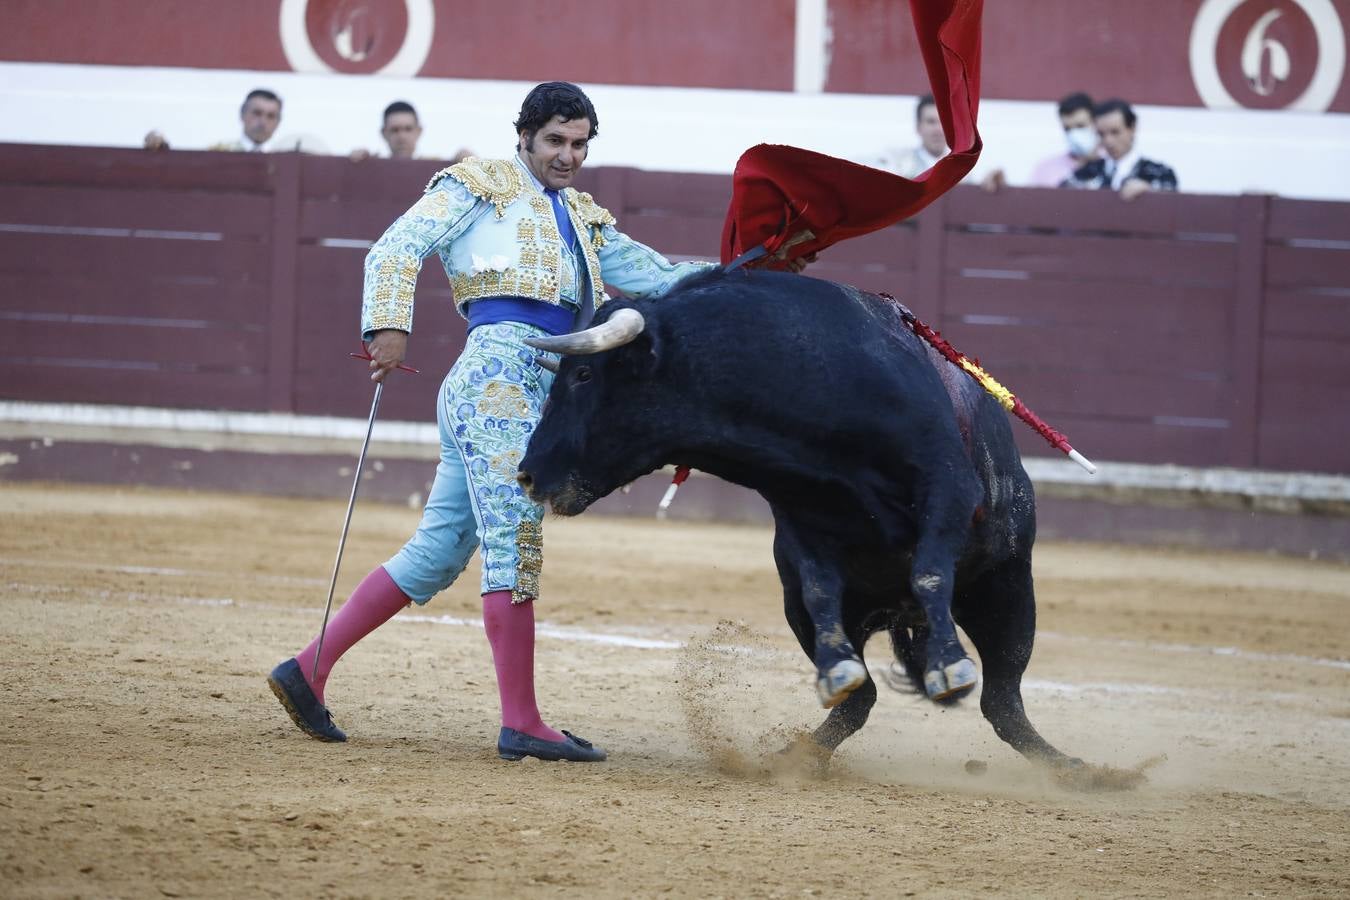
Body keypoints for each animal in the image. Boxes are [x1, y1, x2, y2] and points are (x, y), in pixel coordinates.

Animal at [515, 267, 1085, 777]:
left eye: (583, 375)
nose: (527, 474)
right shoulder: (797, 519)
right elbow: (818, 590)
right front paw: (837, 669)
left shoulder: (948, 487)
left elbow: (928, 571)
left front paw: (949, 666)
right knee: (863, 699)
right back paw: (799, 751)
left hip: (1008, 589)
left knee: (1002, 703)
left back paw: (1076, 770)